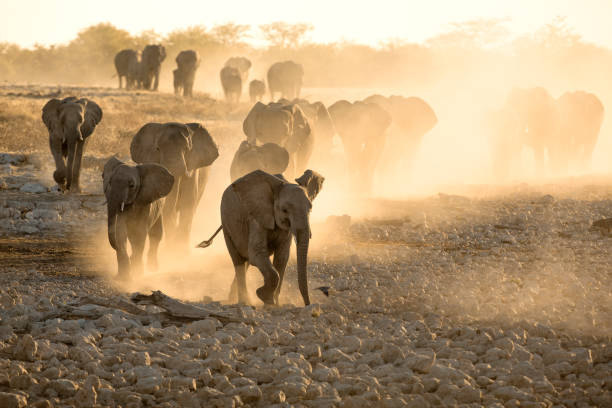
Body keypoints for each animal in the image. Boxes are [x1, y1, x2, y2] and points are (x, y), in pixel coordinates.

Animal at [201, 169, 326, 306]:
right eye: (284, 210)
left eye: (310, 209)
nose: (308, 304)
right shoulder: (256, 217)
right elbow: (257, 252)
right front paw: (264, 297)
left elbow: (282, 257)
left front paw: (275, 304)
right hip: (226, 225)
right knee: (238, 262)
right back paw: (244, 302)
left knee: (246, 261)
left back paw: (235, 299)